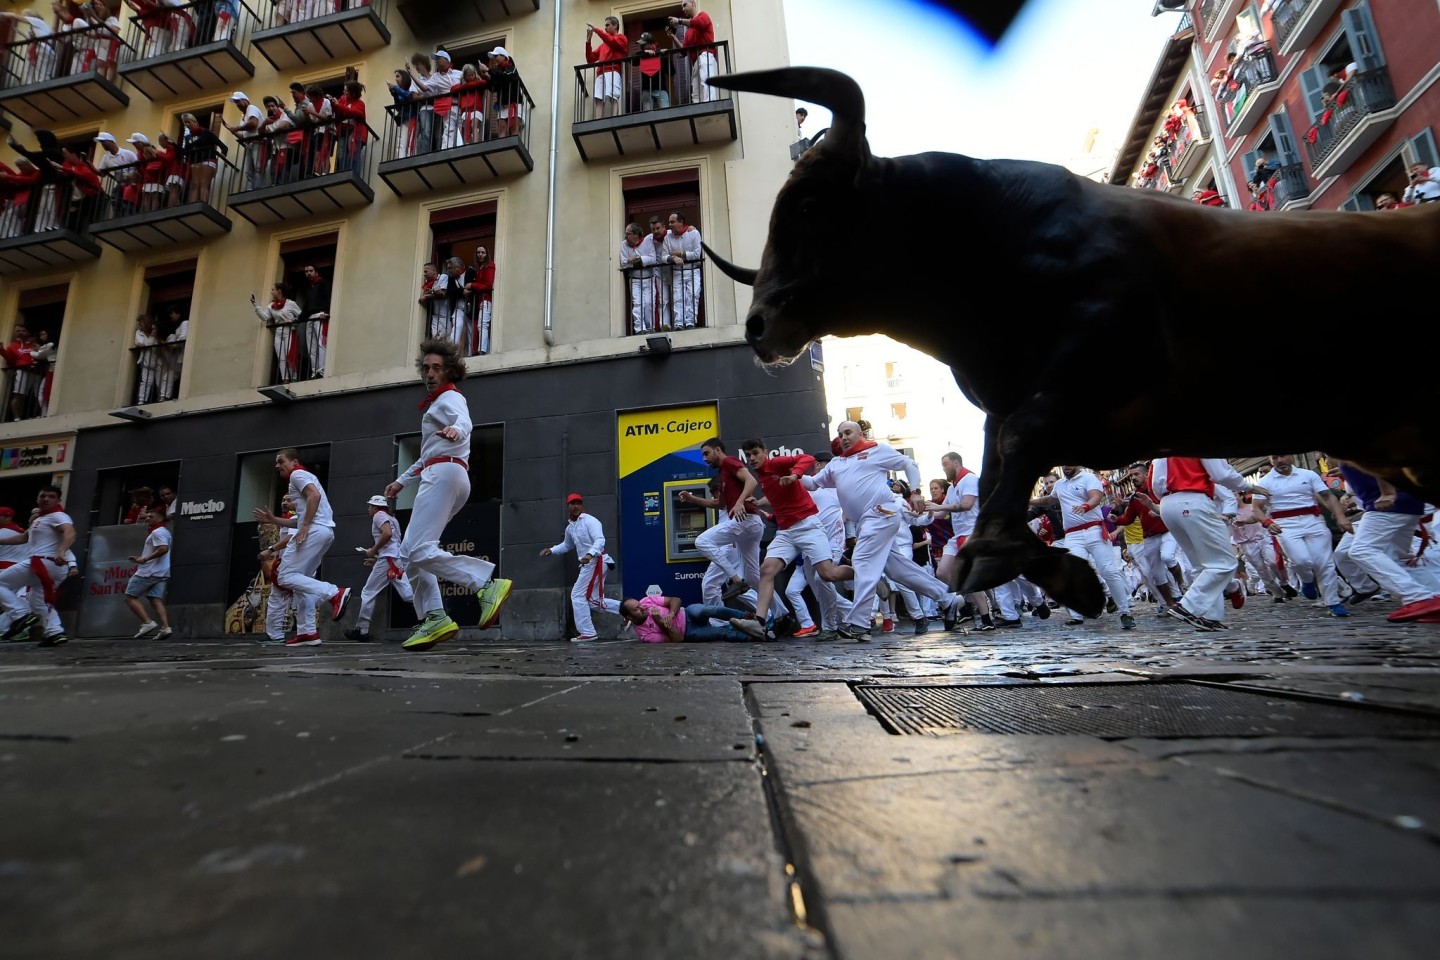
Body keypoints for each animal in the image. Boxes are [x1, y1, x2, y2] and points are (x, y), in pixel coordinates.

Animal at [705, 71, 1440, 618]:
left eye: (808, 205)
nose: (759, 324)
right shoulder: (1010, 401)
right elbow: (997, 467)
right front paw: (1039, 563)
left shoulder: (1109, 353)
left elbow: (1019, 446)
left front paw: (1010, 556)